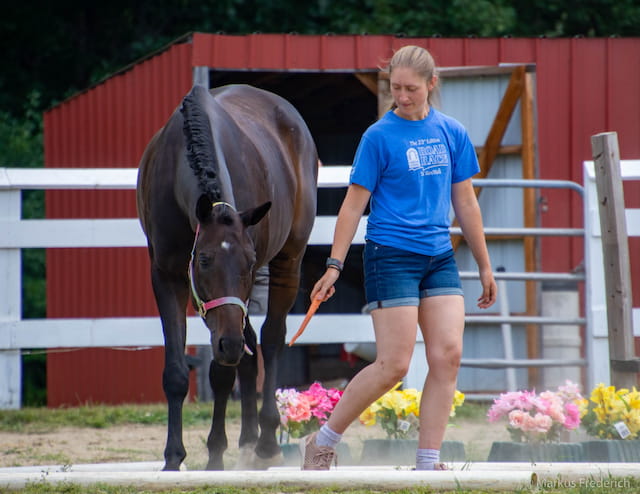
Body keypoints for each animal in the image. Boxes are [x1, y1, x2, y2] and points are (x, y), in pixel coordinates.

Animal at [136, 84, 318, 470]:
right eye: (204, 260)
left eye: (248, 263)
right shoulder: (168, 276)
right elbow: (177, 373)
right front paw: (173, 458)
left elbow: (222, 371)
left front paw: (215, 454)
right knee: (247, 347)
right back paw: (248, 442)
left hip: (289, 261)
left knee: (270, 339)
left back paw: (265, 444)